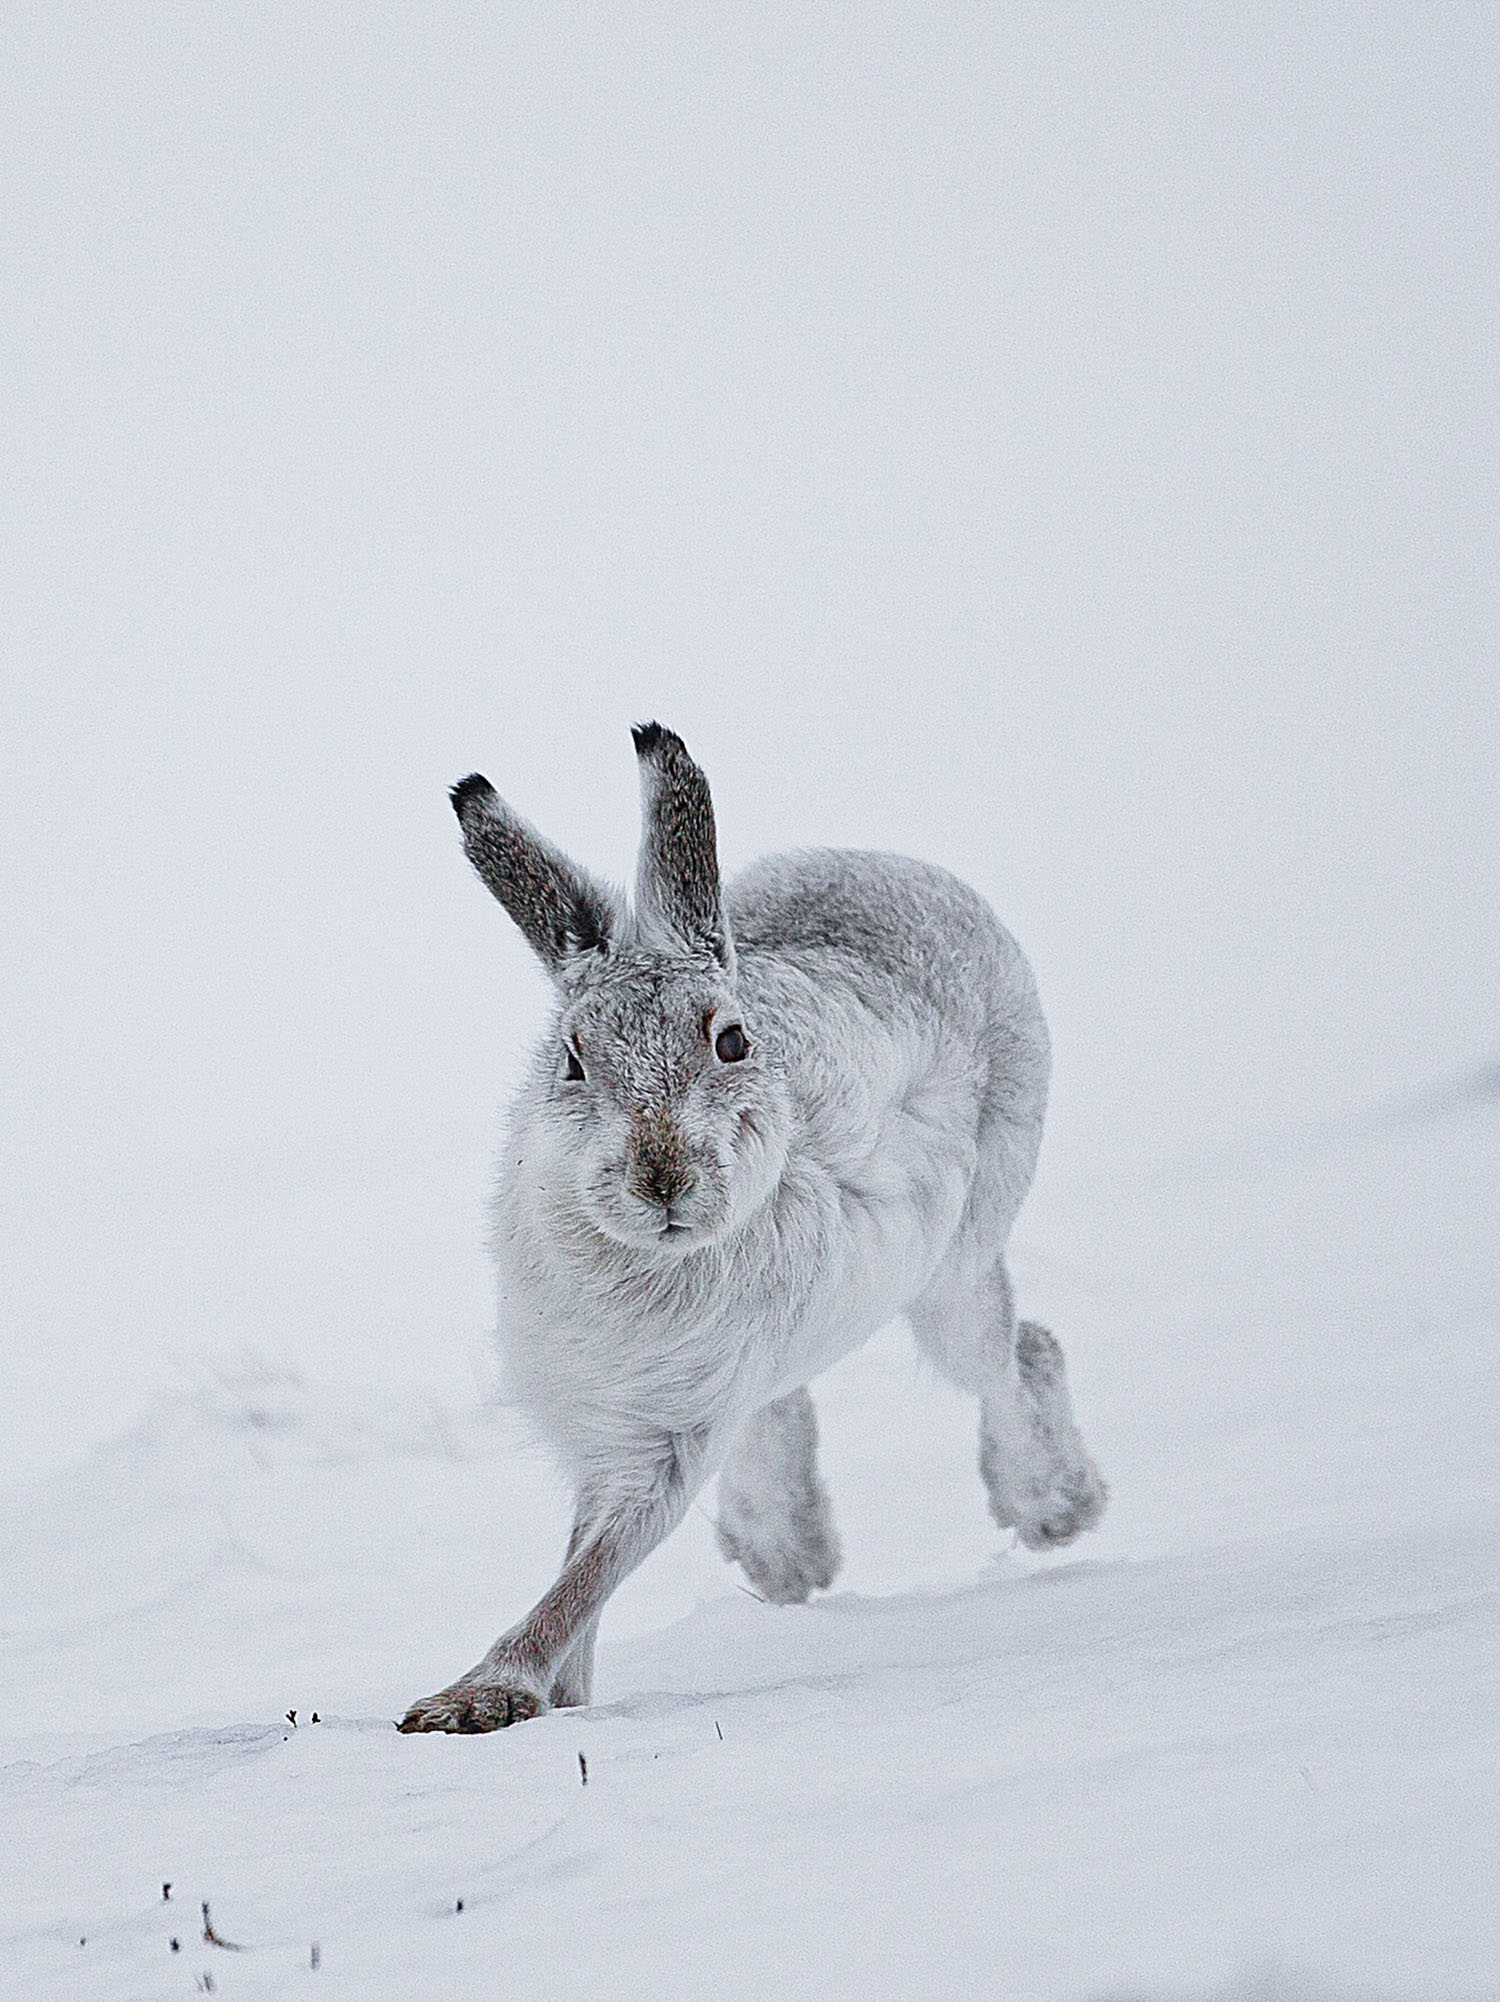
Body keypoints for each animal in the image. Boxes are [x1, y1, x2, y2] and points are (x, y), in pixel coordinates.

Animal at [398, 723, 1106, 1732]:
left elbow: (591, 1568)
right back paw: (786, 1557)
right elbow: (583, 1560)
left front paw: (477, 1701)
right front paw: (563, 1701)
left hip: (952, 1267)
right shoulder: (616, 1416)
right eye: (570, 1061)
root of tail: (904, 870)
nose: (662, 1180)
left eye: (730, 1041)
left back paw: (1054, 1508)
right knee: (793, 1402)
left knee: (1015, 1353)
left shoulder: (669, 1437)